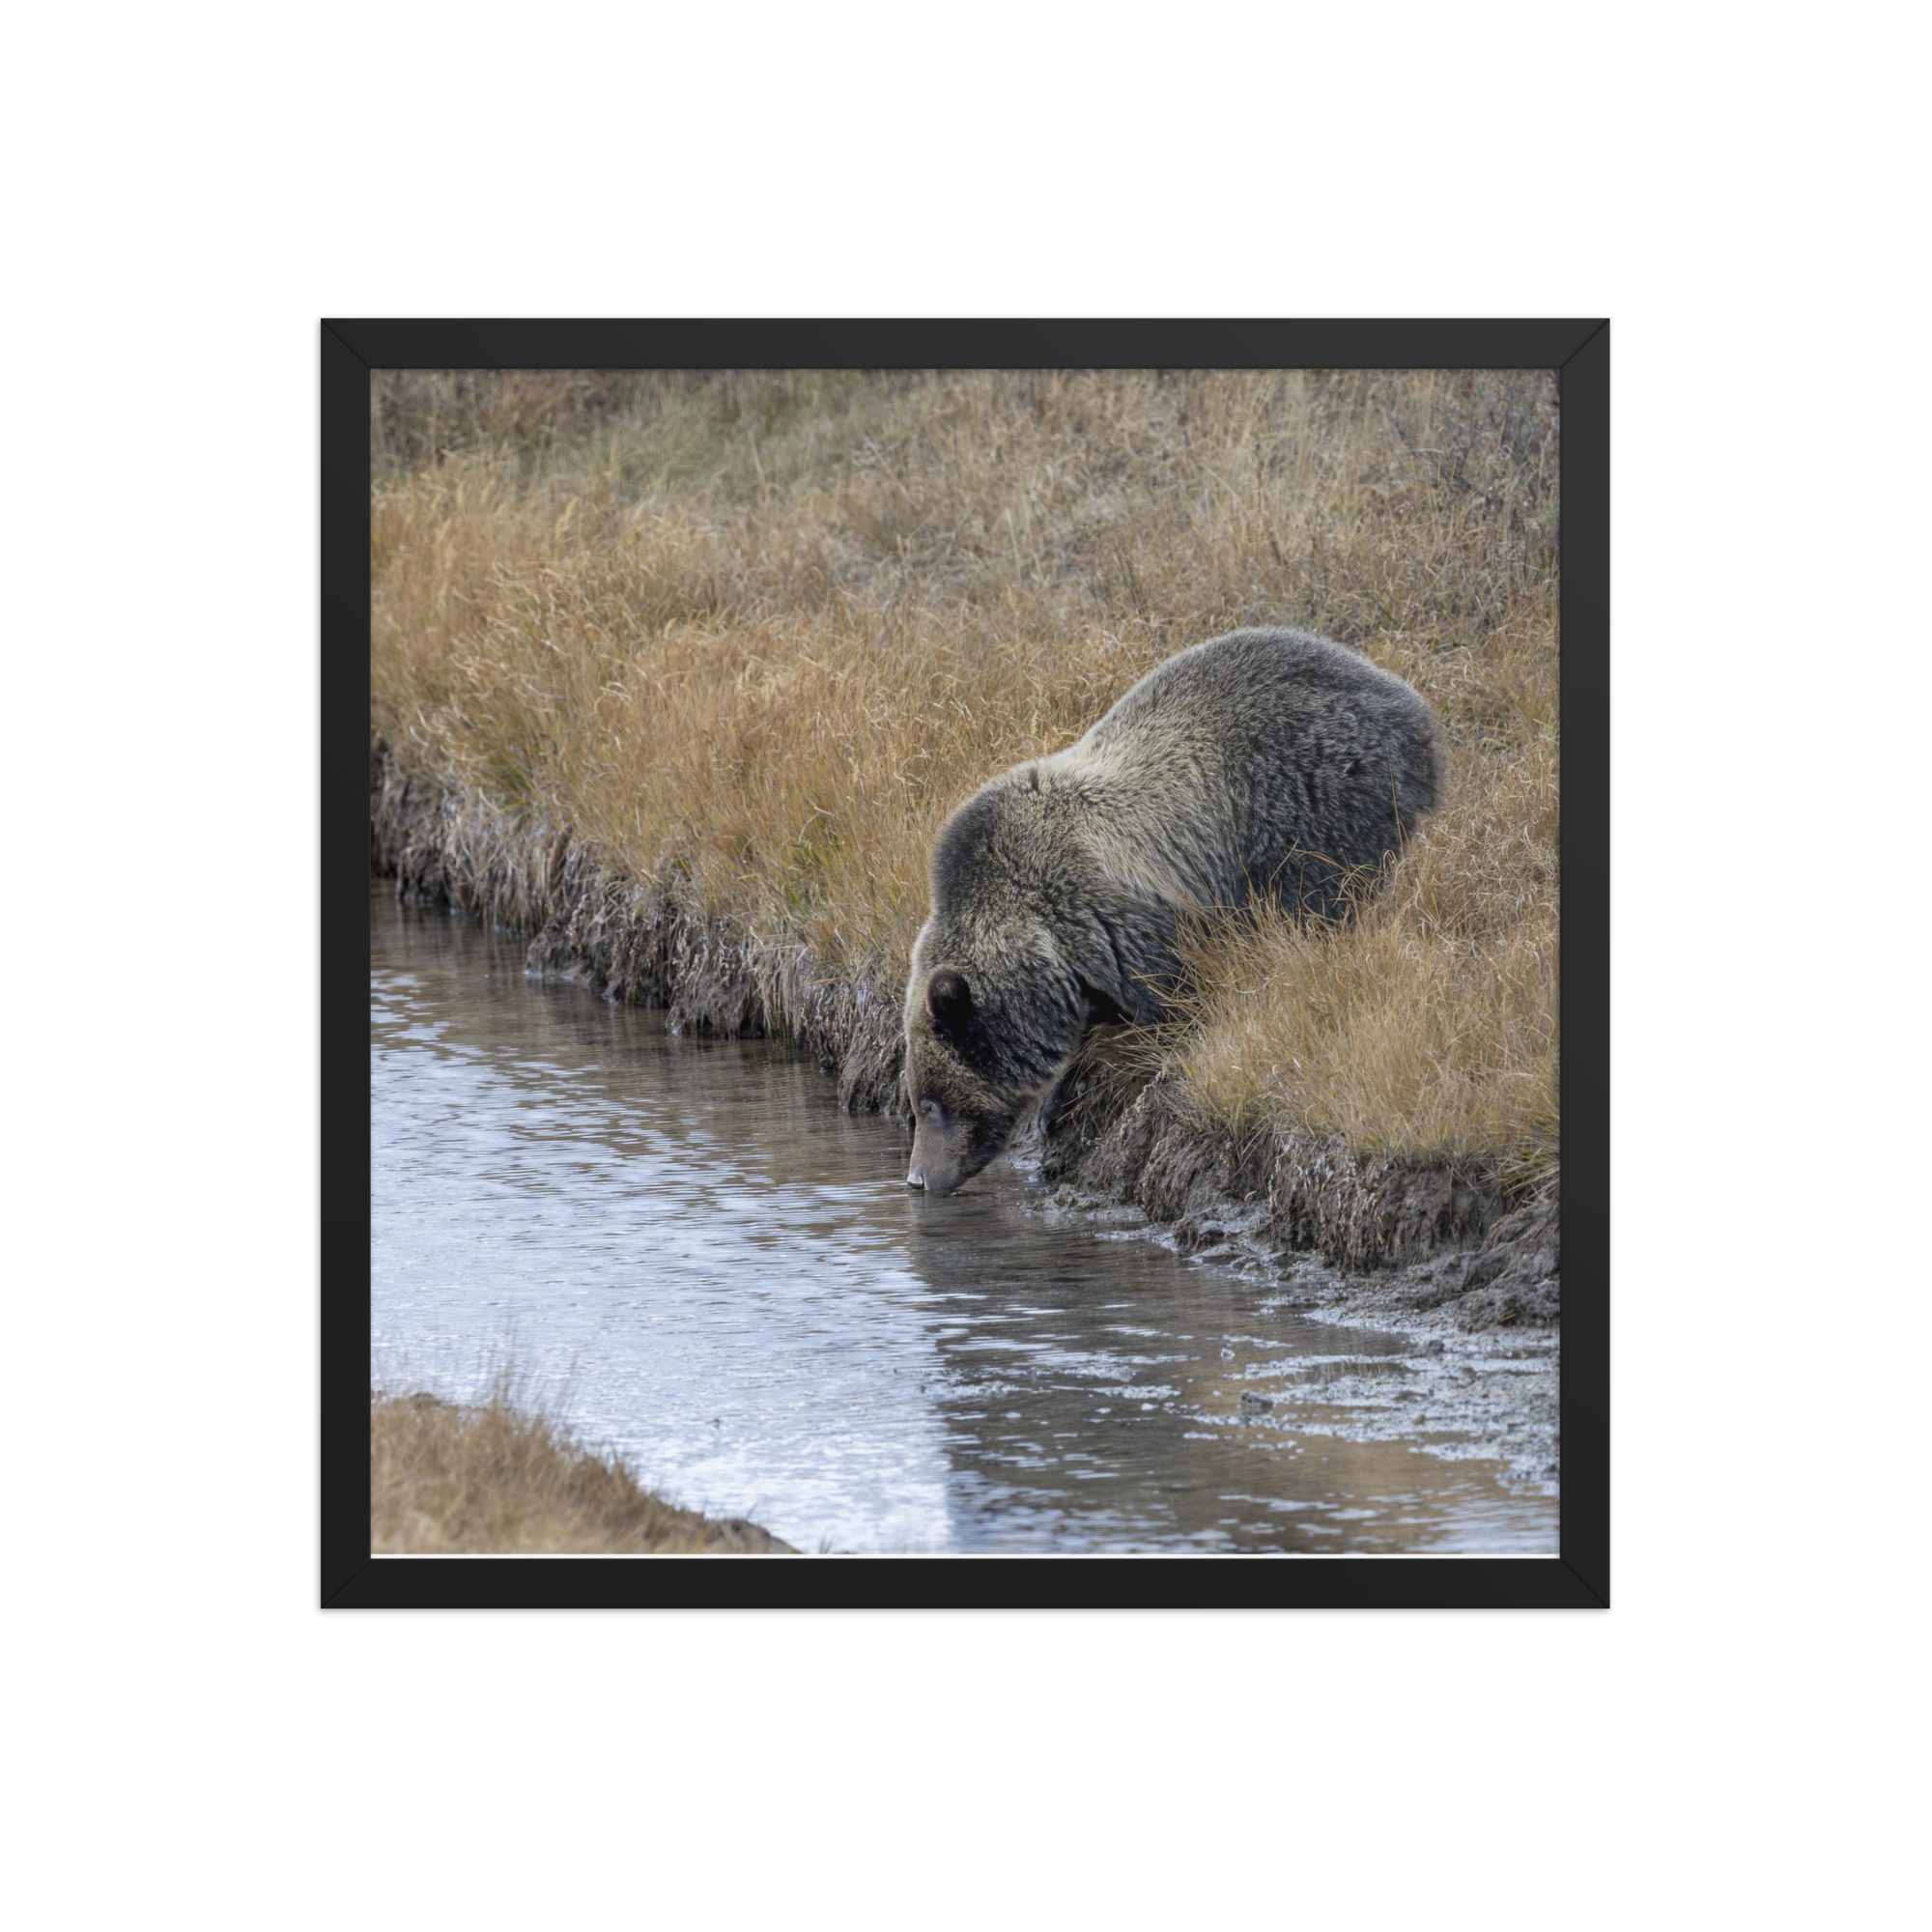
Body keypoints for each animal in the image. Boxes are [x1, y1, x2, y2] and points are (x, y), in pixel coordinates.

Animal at [901, 626, 1442, 1195]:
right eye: (916, 1102)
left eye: (930, 1103)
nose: (917, 1178)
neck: (1044, 944)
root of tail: (1406, 701)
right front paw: (1056, 1099)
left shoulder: (1117, 920)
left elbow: (1172, 996)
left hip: (1311, 799)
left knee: (1320, 897)